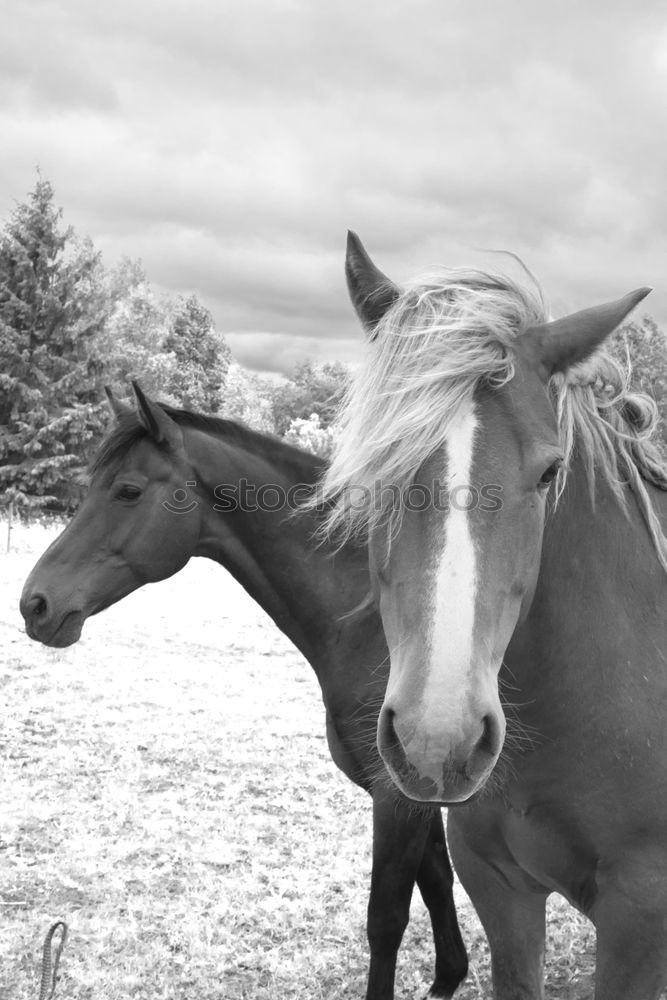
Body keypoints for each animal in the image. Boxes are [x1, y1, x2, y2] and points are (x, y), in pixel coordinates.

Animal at [22, 384, 470, 1000]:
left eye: (128, 490)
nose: (34, 604)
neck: (375, 622)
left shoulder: (397, 795)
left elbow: (386, 920)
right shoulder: (411, 793)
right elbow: (437, 884)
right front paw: (450, 974)